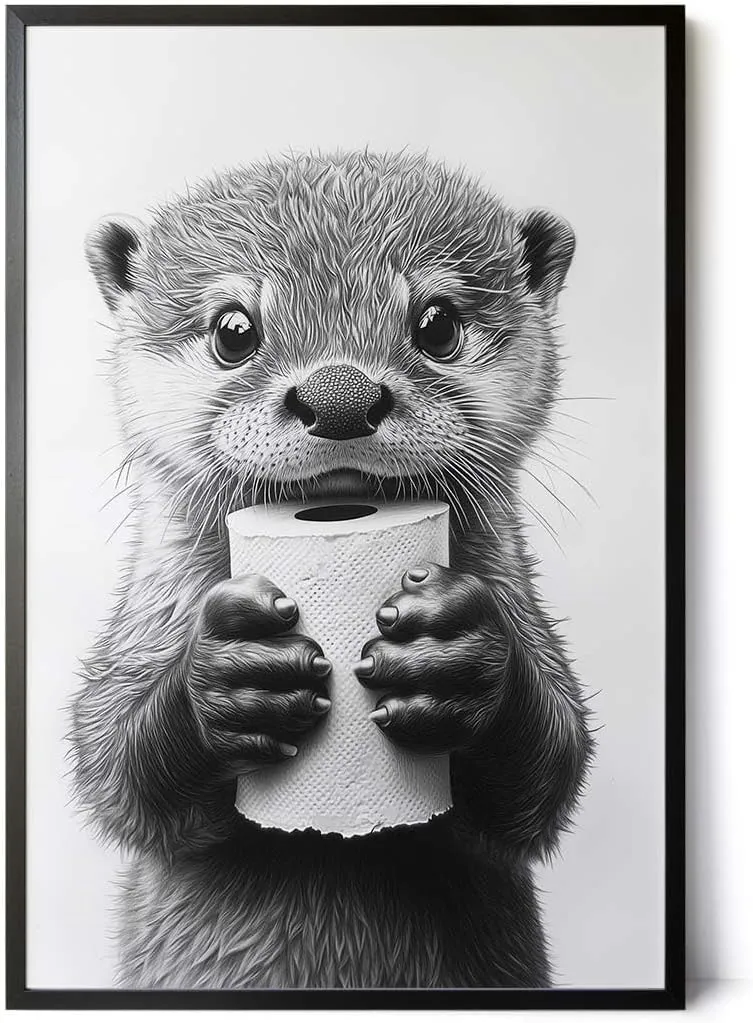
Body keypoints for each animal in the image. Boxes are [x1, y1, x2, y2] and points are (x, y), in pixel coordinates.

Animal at [71, 150, 593, 989]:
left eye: (437, 324)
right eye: (234, 330)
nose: (339, 394)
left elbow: (549, 772)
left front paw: (457, 658)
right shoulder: (139, 636)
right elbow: (112, 767)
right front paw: (229, 678)